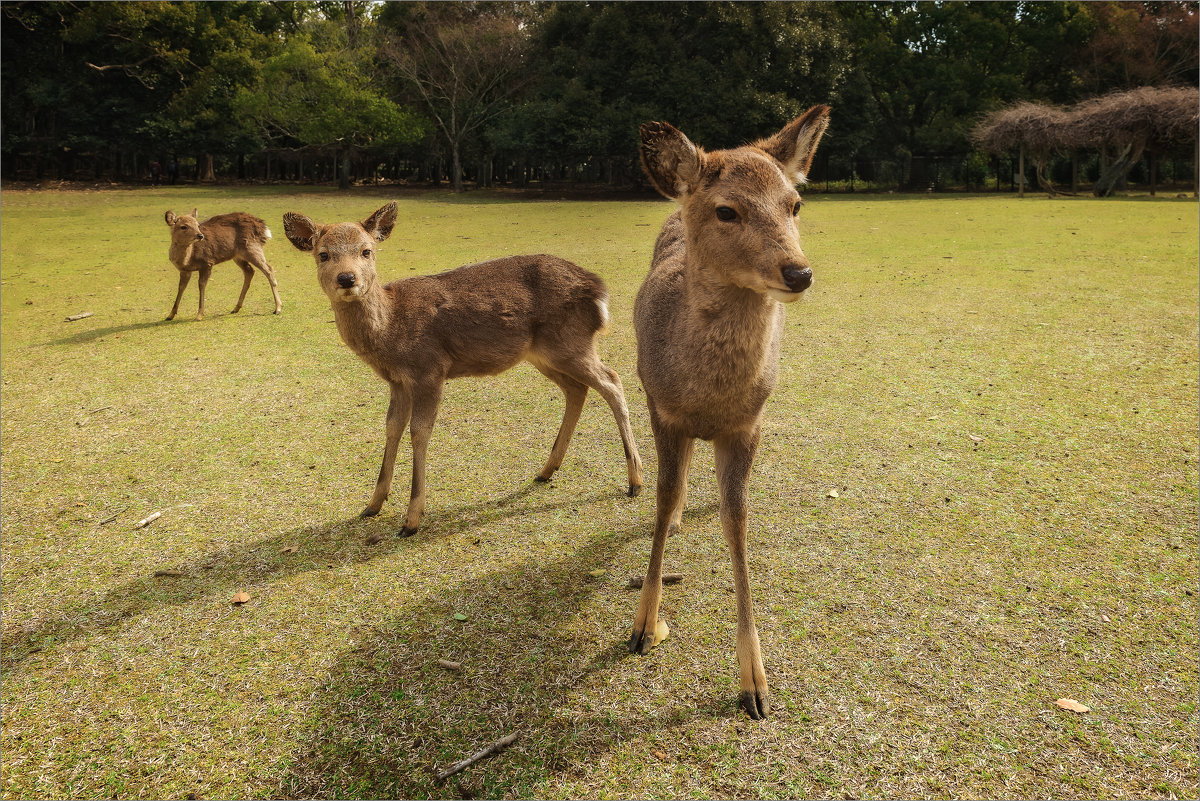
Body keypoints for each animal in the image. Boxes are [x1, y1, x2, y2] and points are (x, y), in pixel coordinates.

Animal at [280, 201, 643, 537]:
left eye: (366, 251)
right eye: (323, 254)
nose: (347, 278)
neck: (390, 330)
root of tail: (599, 290)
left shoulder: (429, 369)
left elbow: (419, 431)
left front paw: (412, 520)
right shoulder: (397, 381)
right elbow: (392, 427)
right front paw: (372, 504)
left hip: (571, 342)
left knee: (612, 381)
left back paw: (635, 481)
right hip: (544, 354)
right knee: (577, 389)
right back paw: (546, 470)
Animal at [628, 104, 835, 719]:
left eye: (796, 204)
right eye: (727, 210)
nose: (798, 273)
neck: (706, 396)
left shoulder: (748, 426)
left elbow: (736, 521)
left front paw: (755, 685)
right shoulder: (662, 408)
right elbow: (663, 496)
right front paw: (643, 628)